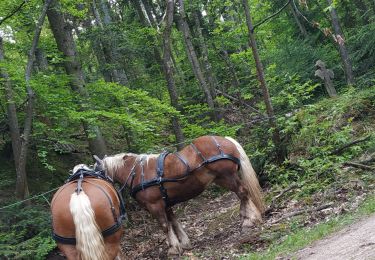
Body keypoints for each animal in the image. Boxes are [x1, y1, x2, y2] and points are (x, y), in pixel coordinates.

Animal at [94, 135, 264, 255]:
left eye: (97, 172)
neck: (137, 172)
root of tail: (226, 140)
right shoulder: (165, 203)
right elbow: (174, 223)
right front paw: (184, 243)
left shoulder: (155, 205)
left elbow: (164, 226)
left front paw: (173, 249)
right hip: (222, 179)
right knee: (242, 194)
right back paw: (246, 217)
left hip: (227, 176)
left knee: (242, 192)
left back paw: (249, 220)